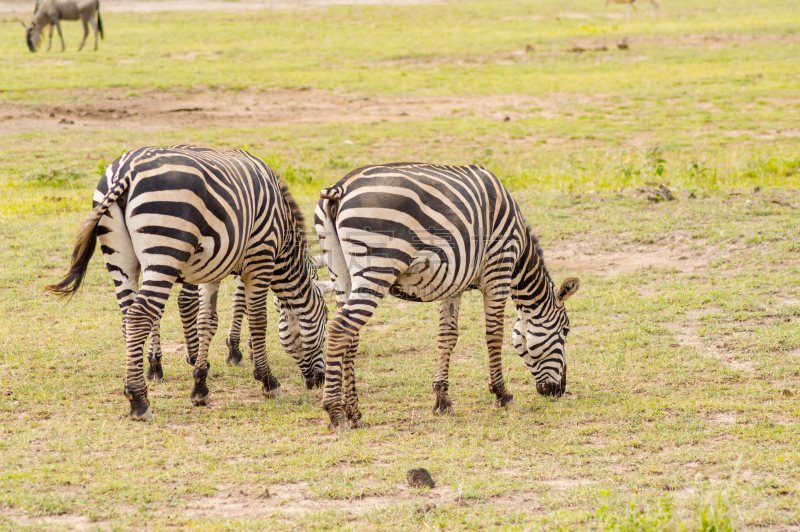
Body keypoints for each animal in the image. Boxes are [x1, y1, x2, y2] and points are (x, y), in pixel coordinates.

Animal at [48, 144, 330, 420]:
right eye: (326, 318)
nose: (319, 381)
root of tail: (124, 170)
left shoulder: (216, 265)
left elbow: (207, 321)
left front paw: (200, 385)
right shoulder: (260, 257)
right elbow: (257, 320)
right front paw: (267, 380)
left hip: (122, 258)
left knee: (130, 317)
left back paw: (147, 374)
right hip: (167, 247)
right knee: (142, 315)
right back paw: (139, 401)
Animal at [314, 163, 580, 432]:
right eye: (566, 330)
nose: (559, 391)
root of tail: (341, 186)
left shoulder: (454, 283)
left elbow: (447, 337)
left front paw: (442, 400)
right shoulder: (498, 270)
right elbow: (494, 335)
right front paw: (502, 394)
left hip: (339, 272)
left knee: (351, 337)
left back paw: (354, 413)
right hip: (377, 268)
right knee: (339, 330)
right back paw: (336, 414)